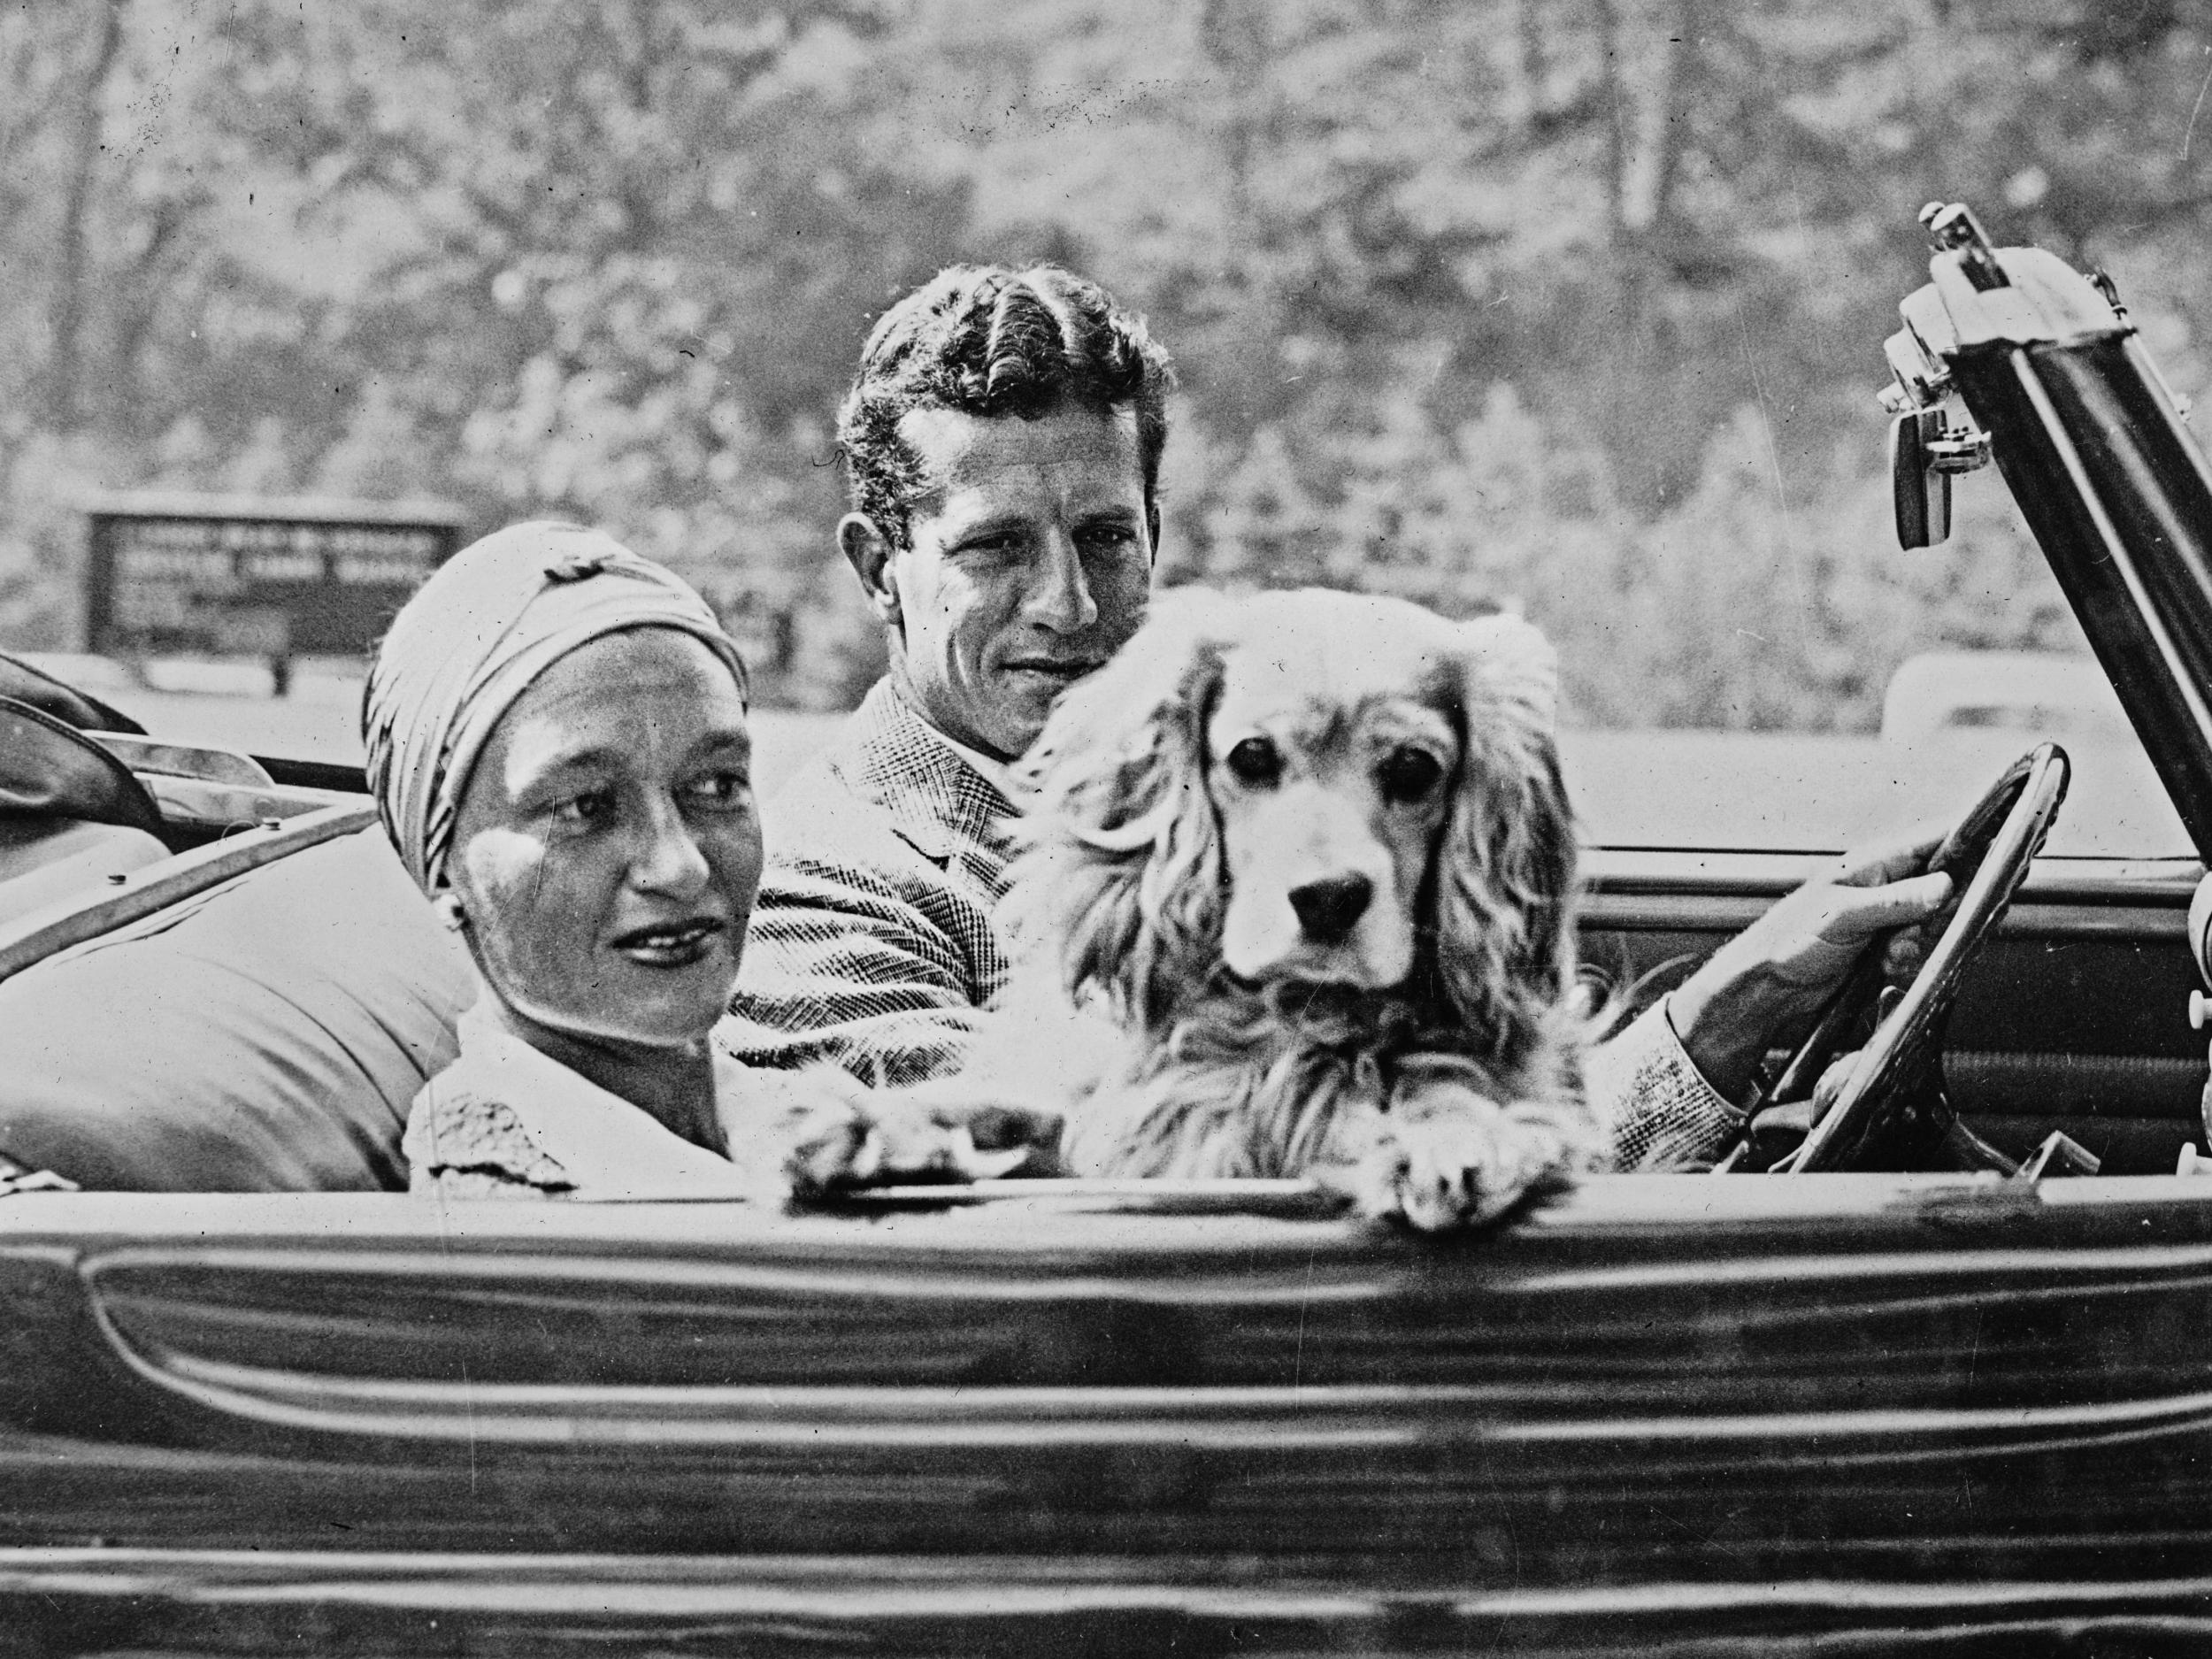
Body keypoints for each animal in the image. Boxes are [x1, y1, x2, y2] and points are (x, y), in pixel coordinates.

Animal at [978, 588, 1601, 1239]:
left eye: (1415, 767)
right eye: (1252, 755)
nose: (1329, 896)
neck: (1303, 1018)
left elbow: (1456, 1089)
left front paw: (1452, 1136)